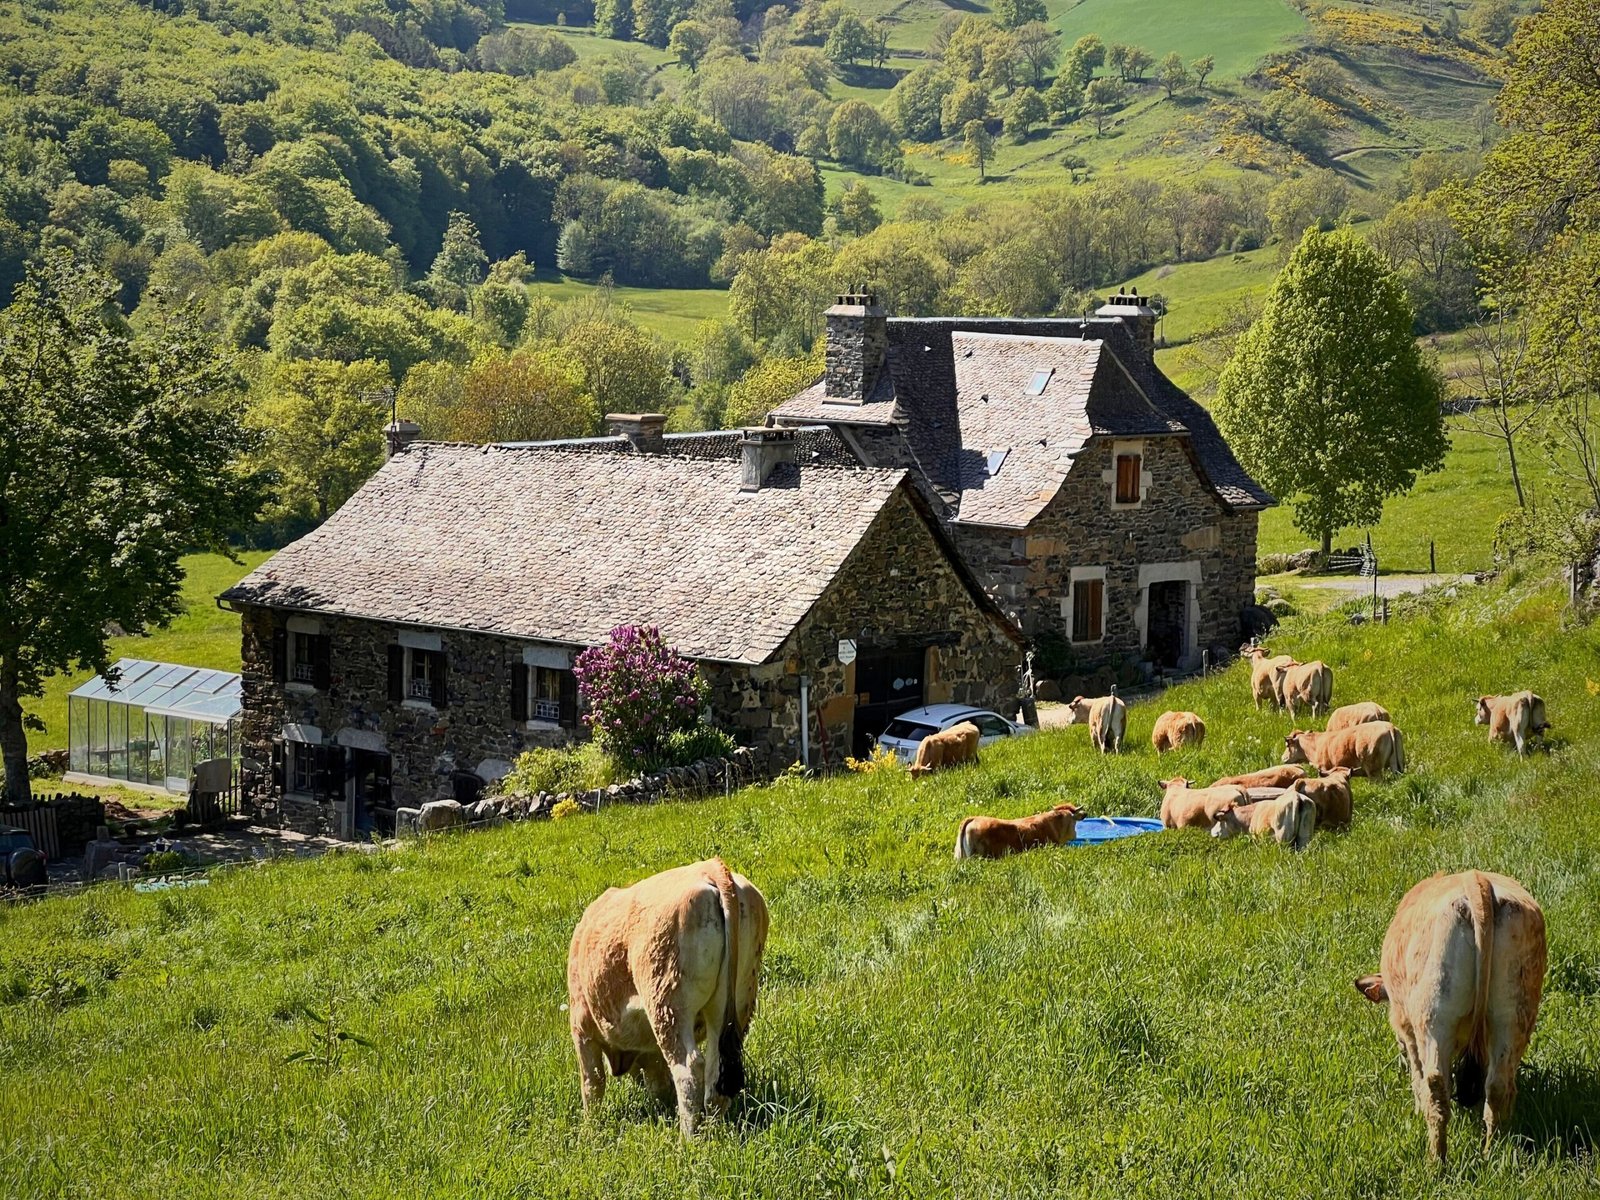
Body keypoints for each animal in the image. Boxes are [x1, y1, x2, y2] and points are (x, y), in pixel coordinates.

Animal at [567, 859, 769, 1138]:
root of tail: (711, 868)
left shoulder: (582, 1028)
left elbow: (592, 1082)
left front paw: (589, 1129)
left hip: (668, 1004)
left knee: (689, 1070)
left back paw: (687, 1139)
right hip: (735, 1003)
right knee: (715, 1073)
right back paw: (713, 1131)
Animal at [1355, 870, 1547, 1163]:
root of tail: (1476, 880)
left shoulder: (1407, 1028)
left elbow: (1417, 1074)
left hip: (1434, 1015)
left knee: (1435, 1085)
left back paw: (1437, 1161)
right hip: (1512, 1014)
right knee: (1498, 1085)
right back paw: (1490, 1152)